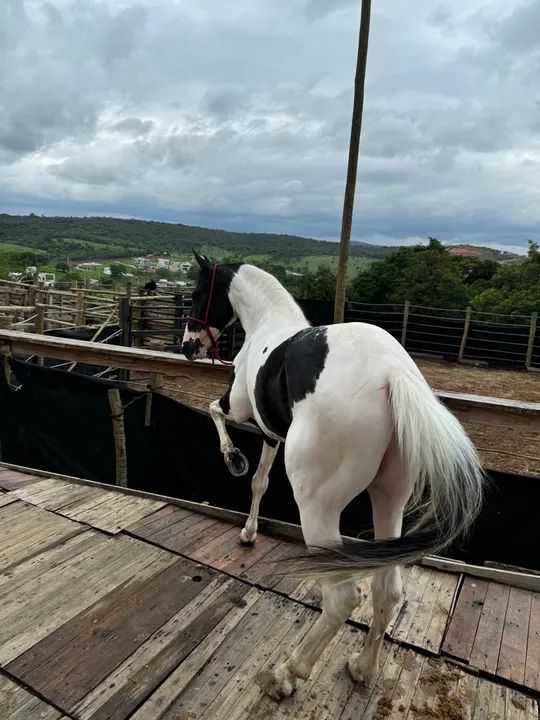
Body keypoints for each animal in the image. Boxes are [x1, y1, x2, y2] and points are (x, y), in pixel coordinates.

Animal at [181, 252, 484, 701]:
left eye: (199, 292)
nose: (188, 347)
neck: (267, 324)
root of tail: (391, 372)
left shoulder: (241, 410)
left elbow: (215, 414)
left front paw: (233, 459)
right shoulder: (271, 434)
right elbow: (260, 481)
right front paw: (249, 532)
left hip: (317, 507)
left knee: (343, 597)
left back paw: (287, 674)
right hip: (390, 499)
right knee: (387, 590)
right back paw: (362, 667)